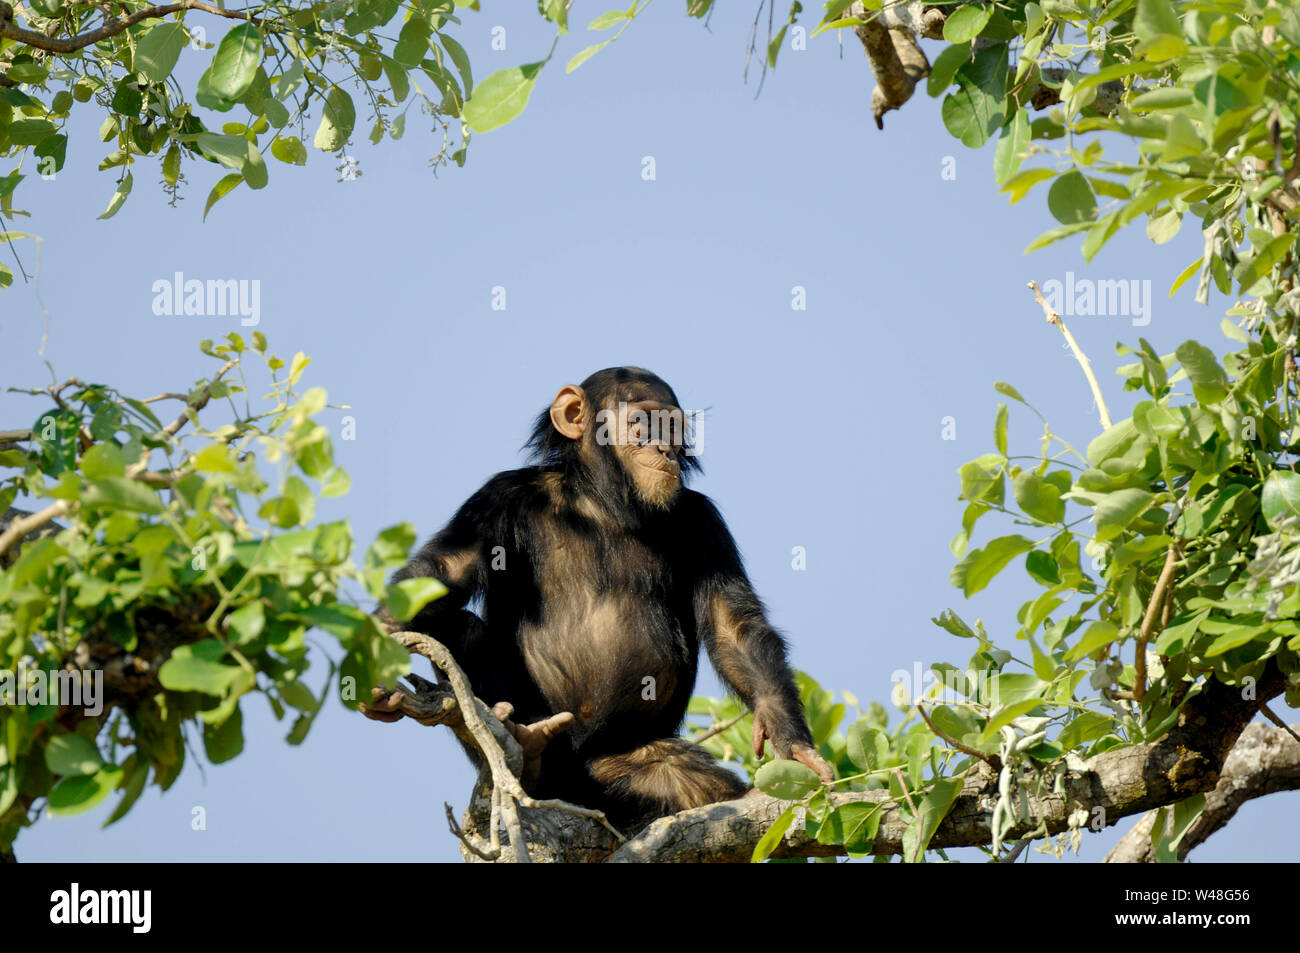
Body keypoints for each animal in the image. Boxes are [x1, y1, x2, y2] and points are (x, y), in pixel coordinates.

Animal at [366, 364, 832, 826]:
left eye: (672, 426)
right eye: (643, 422)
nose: (665, 449)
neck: (599, 502)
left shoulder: (704, 520)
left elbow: (730, 625)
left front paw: (792, 745)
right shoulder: (496, 498)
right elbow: (442, 572)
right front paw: (376, 669)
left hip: (615, 767)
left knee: (681, 778)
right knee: (460, 628)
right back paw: (527, 749)